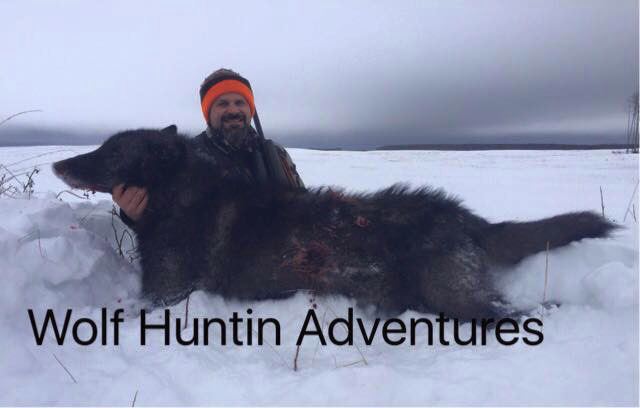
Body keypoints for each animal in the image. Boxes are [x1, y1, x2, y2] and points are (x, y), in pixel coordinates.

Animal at [53, 126, 617, 319]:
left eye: (111, 150)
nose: (59, 163)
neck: (181, 197)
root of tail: (465, 217)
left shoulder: (167, 295)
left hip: (454, 297)